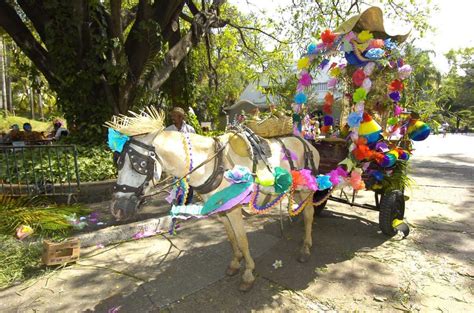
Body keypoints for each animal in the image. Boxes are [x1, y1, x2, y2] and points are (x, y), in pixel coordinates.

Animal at [109, 124, 320, 290]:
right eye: (117, 161)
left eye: (140, 164)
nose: (117, 209)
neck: (212, 164)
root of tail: (308, 143)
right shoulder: (221, 210)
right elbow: (232, 238)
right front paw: (235, 263)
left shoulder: (234, 209)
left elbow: (242, 240)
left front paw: (248, 273)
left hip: (306, 190)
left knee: (309, 214)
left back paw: (305, 248)